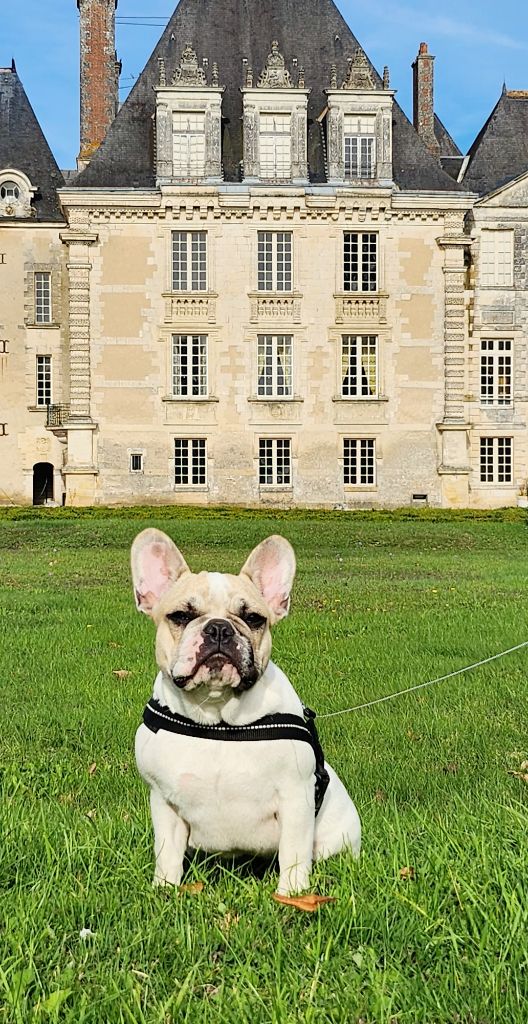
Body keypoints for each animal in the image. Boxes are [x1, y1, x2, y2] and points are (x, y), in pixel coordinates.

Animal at [132, 528, 360, 897]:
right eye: (180, 616)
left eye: (253, 619)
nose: (219, 628)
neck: (218, 718)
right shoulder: (164, 802)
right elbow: (166, 853)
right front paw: (165, 890)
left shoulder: (296, 799)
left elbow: (294, 855)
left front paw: (291, 896)